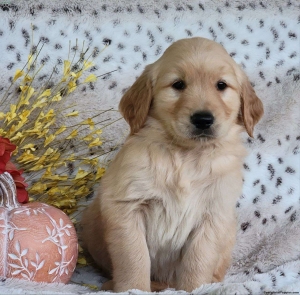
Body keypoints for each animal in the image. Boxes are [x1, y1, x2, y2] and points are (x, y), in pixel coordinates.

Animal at [81, 35, 264, 292]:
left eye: (221, 85)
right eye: (178, 85)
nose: (203, 119)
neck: (186, 156)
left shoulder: (213, 214)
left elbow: (198, 260)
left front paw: (195, 289)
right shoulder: (127, 207)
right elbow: (133, 257)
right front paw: (133, 288)